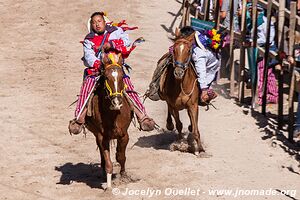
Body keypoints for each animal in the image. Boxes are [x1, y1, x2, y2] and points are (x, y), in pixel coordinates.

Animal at [84, 52, 132, 189]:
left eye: (122, 76)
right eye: (106, 77)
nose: (116, 102)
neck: (113, 115)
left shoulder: (124, 135)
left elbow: (121, 157)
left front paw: (123, 176)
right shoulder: (102, 137)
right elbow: (108, 161)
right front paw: (109, 187)